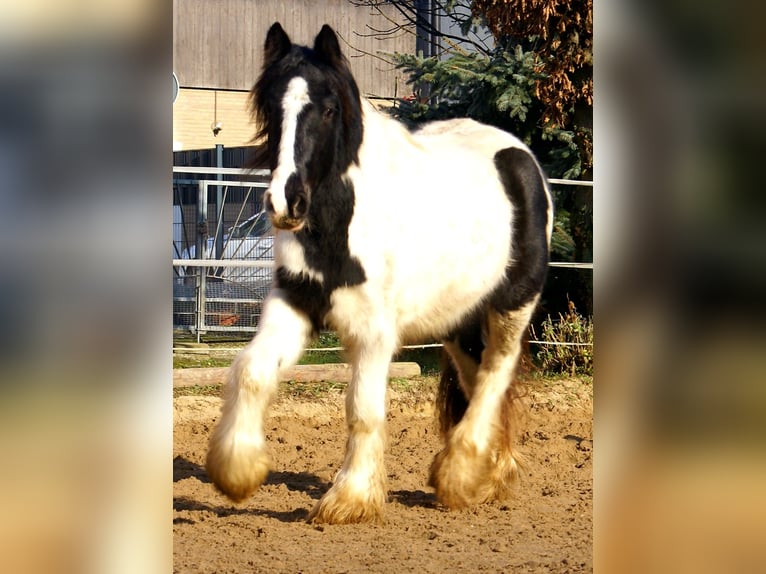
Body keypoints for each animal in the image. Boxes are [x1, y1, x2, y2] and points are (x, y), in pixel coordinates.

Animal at [206, 22, 552, 528]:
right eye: (271, 106)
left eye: (329, 108)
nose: (285, 203)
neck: (343, 224)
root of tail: (521, 158)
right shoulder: (296, 302)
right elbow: (250, 370)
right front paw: (236, 472)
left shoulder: (374, 332)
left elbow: (362, 409)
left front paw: (350, 498)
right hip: (458, 321)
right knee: (479, 380)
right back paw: (493, 475)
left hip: (512, 306)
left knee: (496, 374)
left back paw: (458, 475)